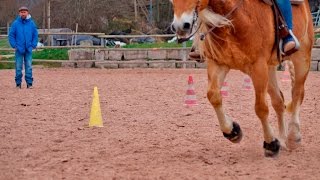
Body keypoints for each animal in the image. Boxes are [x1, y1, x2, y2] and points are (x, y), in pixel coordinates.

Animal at [171, 0, 314, 157]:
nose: (180, 26)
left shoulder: (258, 67)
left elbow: (261, 108)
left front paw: (270, 143)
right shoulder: (218, 64)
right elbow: (213, 96)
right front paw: (232, 131)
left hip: (302, 58)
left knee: (297, 93)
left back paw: (293, 136)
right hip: (270, 69)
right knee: (278, 101)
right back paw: (282, 139)